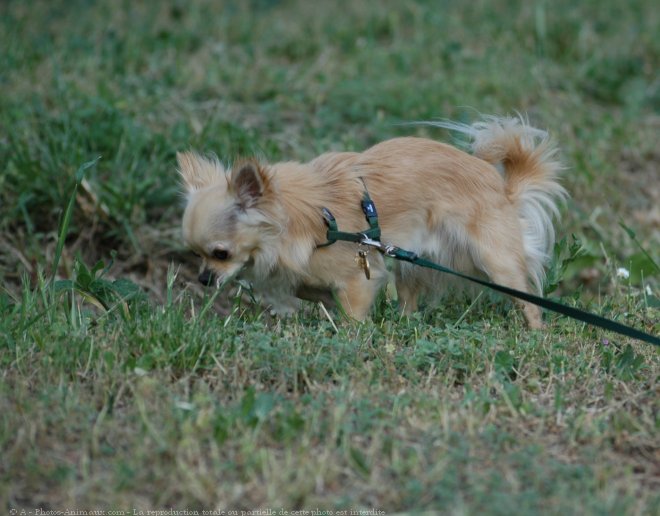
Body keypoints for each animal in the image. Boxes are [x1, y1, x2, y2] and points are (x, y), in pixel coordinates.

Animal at [177, 115, 568, 328]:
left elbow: (352, 314)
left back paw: (536, 332)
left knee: (528, 299)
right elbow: (304, 287)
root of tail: (503, 188)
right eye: (196, 254)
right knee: (410, 301)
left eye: (221, 253)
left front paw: (353, 333)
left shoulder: (358, 277)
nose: (204, 279)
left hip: (495, 259)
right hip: (413, 263)